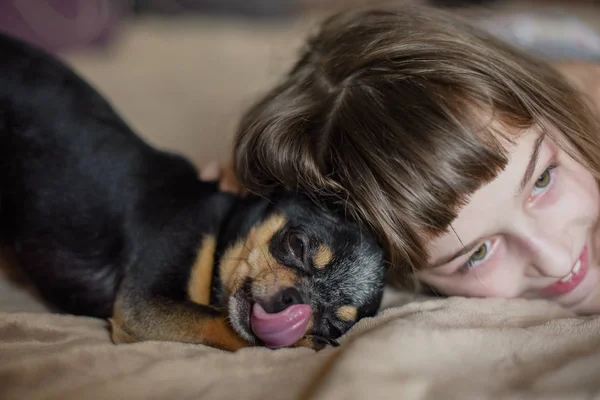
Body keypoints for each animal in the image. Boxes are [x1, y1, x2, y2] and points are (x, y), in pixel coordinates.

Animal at [0, 35, 384, 354]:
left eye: (333, 323)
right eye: (297, 244)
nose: (294, 300)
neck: (220, 231)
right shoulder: (147, 303)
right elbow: (218, 320)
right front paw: (299, 342)